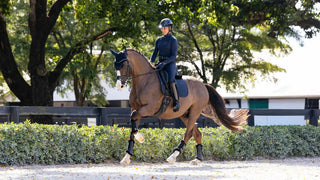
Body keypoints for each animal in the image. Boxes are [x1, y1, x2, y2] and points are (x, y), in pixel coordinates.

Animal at [111, 48, 249, 165]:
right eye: (115, 65)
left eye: (123, 65)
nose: (119, 86)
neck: (144, 81)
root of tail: (203, 85)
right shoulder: (136, 108)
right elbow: (132, 127)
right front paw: (126, 157)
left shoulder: (149, 108)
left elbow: (133, 118)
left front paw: (140, 138)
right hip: (184, 114)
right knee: (197, 133)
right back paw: (197, 159)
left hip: (194, 112)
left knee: (188, 133)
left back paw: (173, 156)